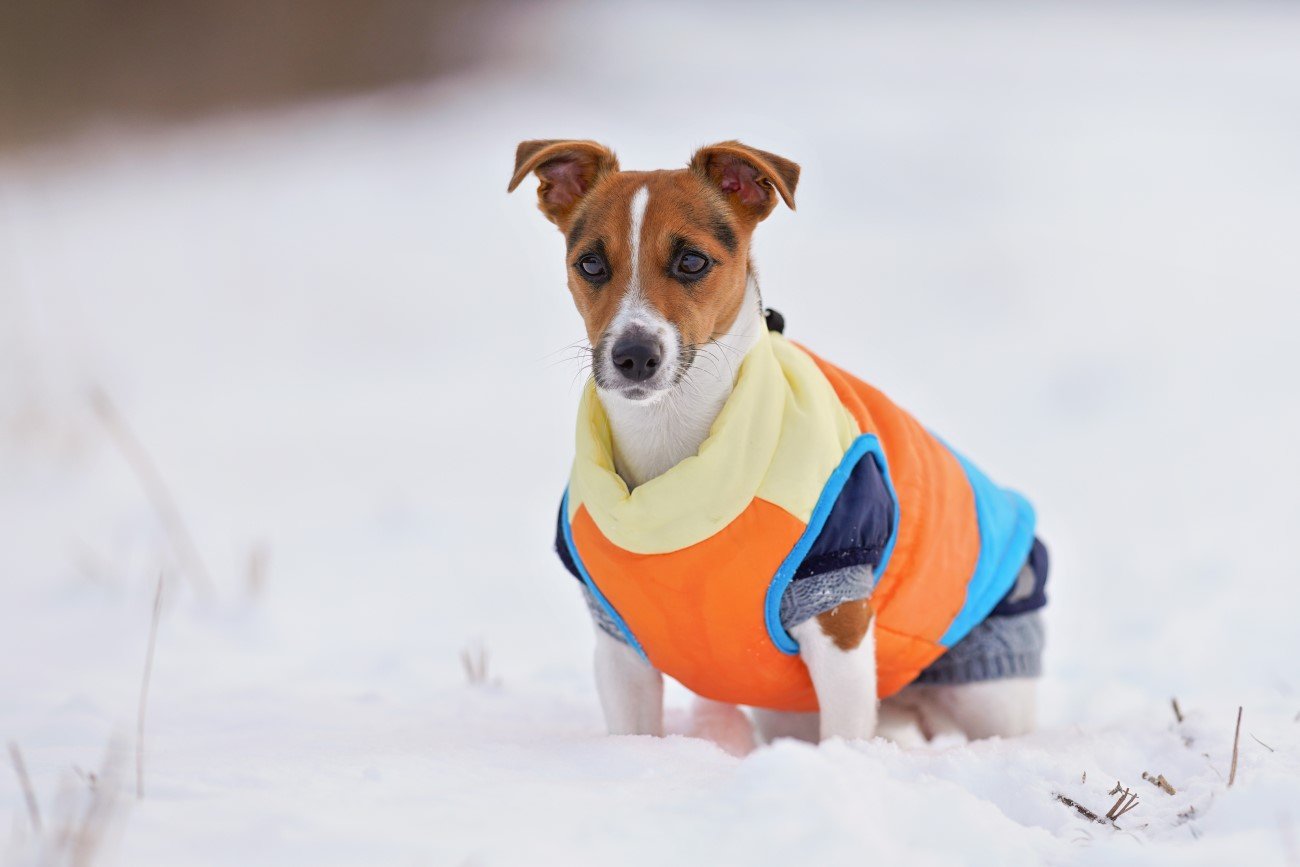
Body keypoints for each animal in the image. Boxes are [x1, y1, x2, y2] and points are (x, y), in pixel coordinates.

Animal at [506, 139, 1045, 743]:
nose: (634, 354)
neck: (672, 443)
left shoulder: (837, 614)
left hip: (988, 694)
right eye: (591, 264)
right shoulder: (618, 646)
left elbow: (845, 733)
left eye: (692, 261)